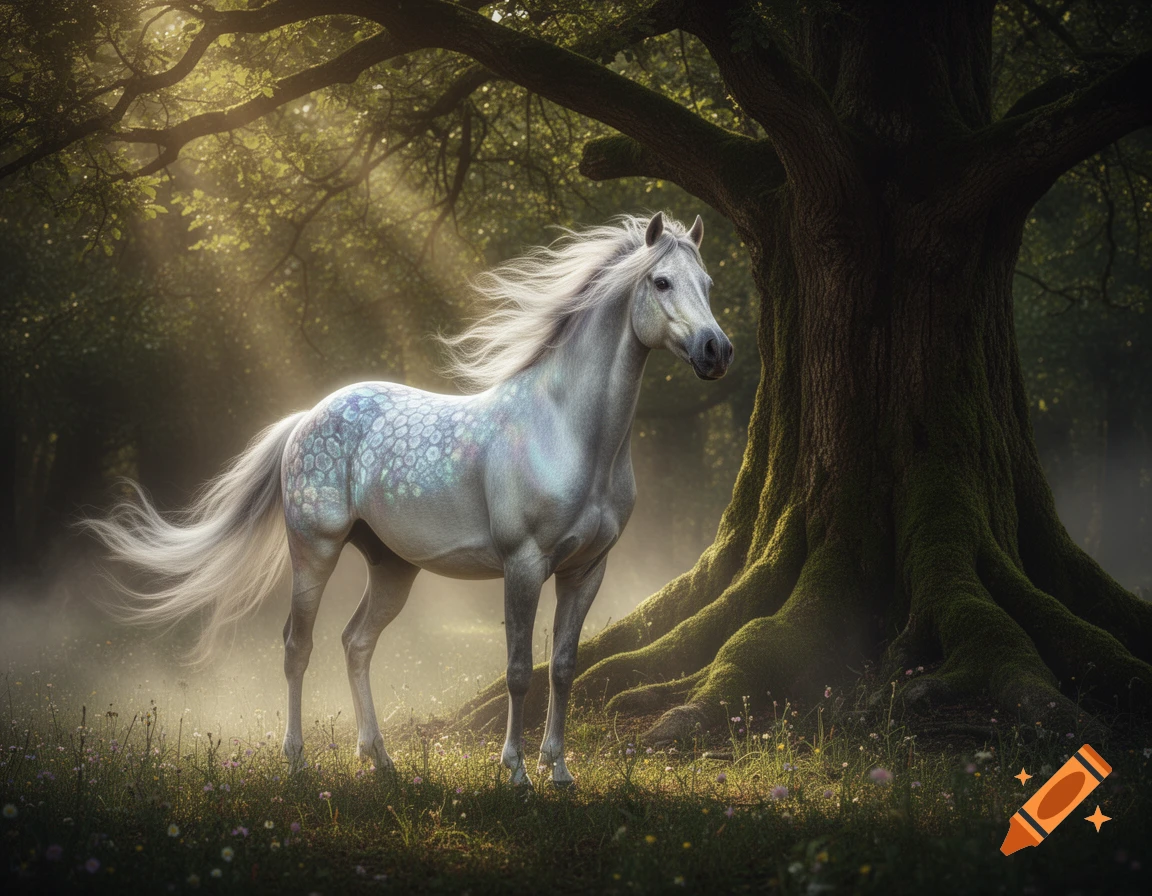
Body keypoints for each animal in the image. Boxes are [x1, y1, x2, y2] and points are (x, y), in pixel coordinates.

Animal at [84, 211, 733, 787]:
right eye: (661, 281)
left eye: (707, 284)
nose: (716, 351)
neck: (569, 434)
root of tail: (307, 417)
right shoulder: (524, 565)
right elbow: (520, 670)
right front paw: (516, 771)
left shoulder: (587, 570)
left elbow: (565, 668)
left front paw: (561, 772)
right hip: (314, 552)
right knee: (298, 647)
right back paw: (298, 763)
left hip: (392, 567)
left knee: (356, 643)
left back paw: (380, 759)